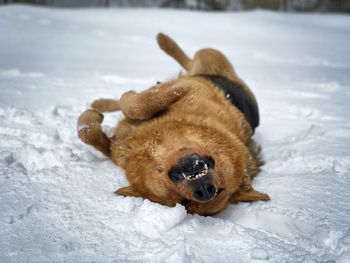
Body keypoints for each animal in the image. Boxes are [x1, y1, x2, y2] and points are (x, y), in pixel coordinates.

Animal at [76, 33, 270, 217]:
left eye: (183, 202)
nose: (205, 190)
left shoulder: (117, 147)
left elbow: (96, 136)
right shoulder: (188, 86)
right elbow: (137, 105)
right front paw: (107, 108)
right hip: (208, 59)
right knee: (190, 61)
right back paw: (163, 42)